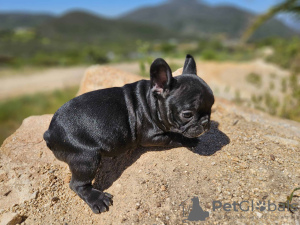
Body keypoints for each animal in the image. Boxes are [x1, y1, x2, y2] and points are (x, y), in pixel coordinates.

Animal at [43, 55, 214, 214]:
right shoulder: (151, 136)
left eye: (212, 107)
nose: (206, 122)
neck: (151, 101)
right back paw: (97, 199)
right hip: (85, 158)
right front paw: (190, 141)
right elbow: (175, 136)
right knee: (77, 184)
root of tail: (50, 132)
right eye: (187, 114)